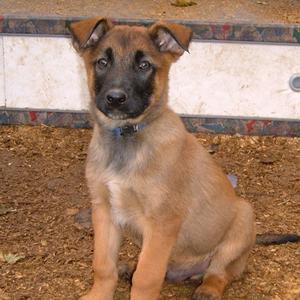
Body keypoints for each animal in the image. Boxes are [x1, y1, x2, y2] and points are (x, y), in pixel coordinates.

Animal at [69, 18, 255, 300]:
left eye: (144, 65)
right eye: (102, 62)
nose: (115, 98)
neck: (127, 136)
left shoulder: (163, 222)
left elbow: (146, 278)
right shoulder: (103, 209)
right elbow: (103, 264)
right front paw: (99, 294)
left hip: (243, 218)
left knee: (220, 271)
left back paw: (208, 289)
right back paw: (128, 268)